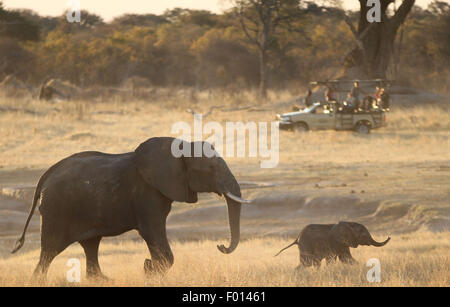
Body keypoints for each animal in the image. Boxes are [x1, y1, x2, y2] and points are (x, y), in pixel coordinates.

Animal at [11, 138, 250, 280]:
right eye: (211, 168)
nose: (220, 246)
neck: (179, 147)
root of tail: (45, 177)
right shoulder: (147, 193)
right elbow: (151, 230)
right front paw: (149, 270)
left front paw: (149, 269)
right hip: (57, 209)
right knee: (50, 250)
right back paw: (39, 280)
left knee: (90, 245)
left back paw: (103, 280)